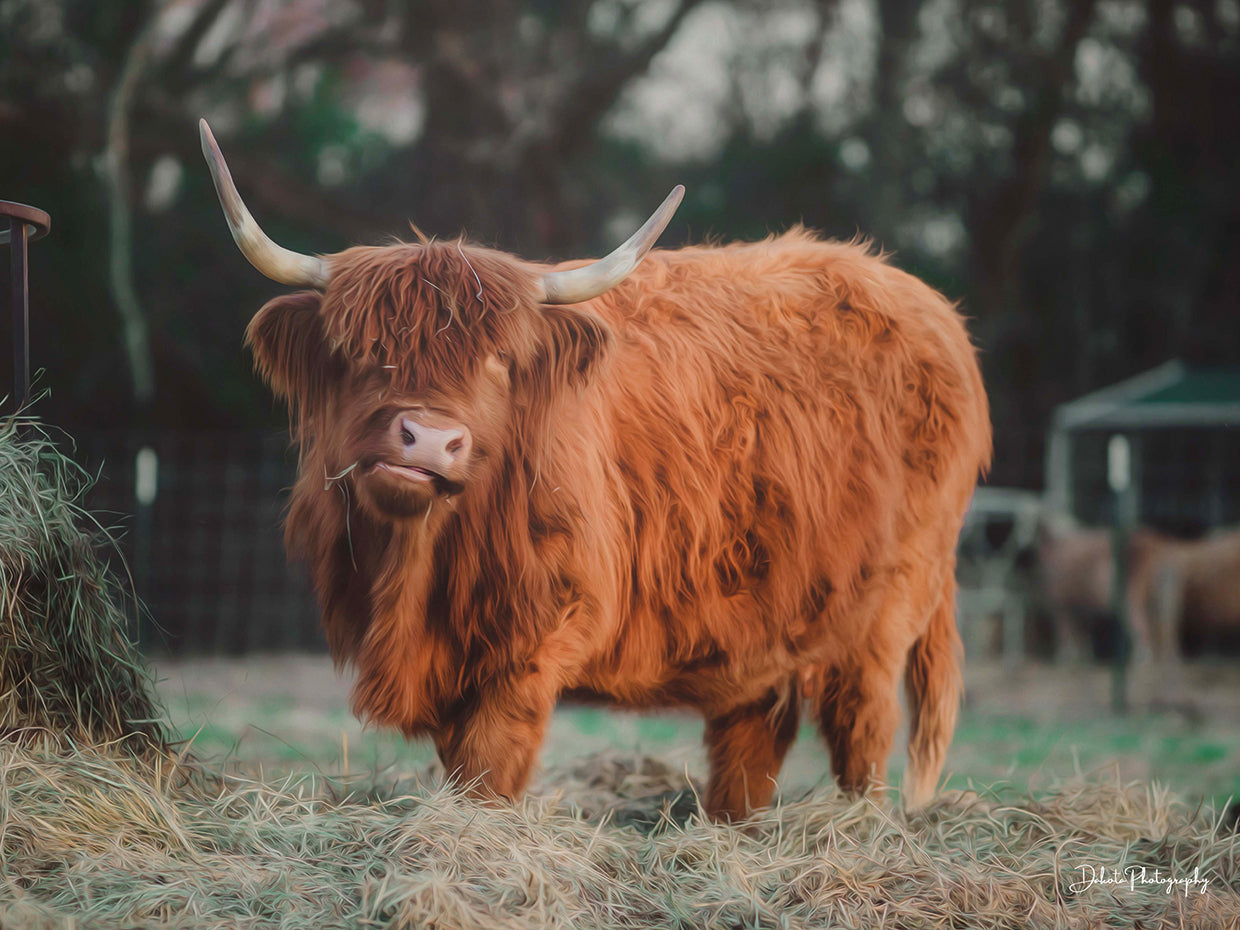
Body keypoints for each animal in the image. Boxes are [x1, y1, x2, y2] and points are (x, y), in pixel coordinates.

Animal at [200, 119, 991, 820]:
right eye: (364, 349)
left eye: (499, 361)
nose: (428, 441)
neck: (416, 574)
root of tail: (930, 308)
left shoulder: (536, 633)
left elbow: (489, 766)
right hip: (763, 616)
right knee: (753, 732)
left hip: (887, 606)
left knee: (863, 726)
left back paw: (858, 828)